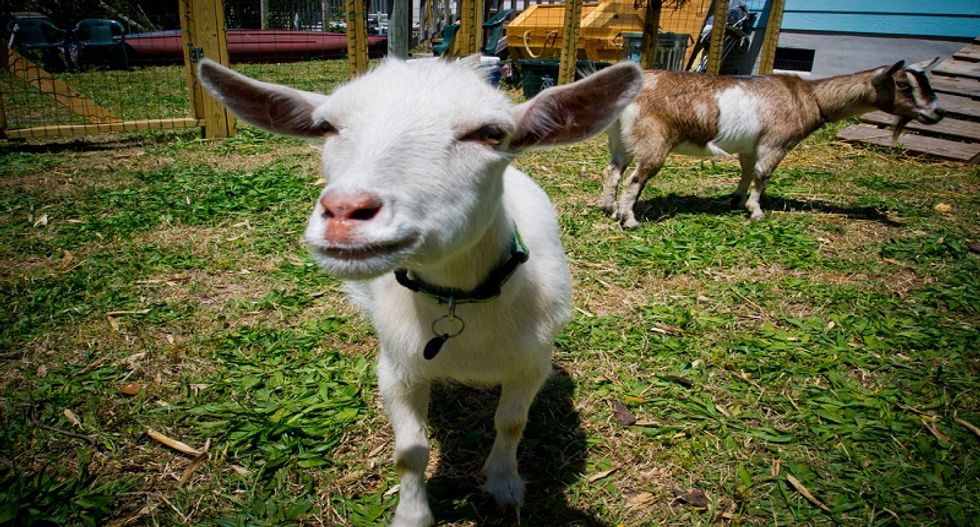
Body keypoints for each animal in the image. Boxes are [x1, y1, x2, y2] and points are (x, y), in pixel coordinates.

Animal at [197, 57, 643, 526]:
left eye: (490, 133)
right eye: (326, 127)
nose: (344, 212)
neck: (460, 303)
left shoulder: (531, 364)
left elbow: (511, 424)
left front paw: (504, 484)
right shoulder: (397, 368)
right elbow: (410, 451)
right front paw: (412, 513)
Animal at [601, 59, 946, 228]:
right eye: (903, 85)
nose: (938, 112)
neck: (810, 97)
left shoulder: (750, 145)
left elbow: (746, 171)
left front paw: (735, 200)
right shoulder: (776, 142)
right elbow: (763, 174)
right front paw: (756, 211)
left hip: (620, 140)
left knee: (613, 171)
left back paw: (608, 207)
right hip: (654, 140)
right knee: (636, 178)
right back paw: (629, 219)